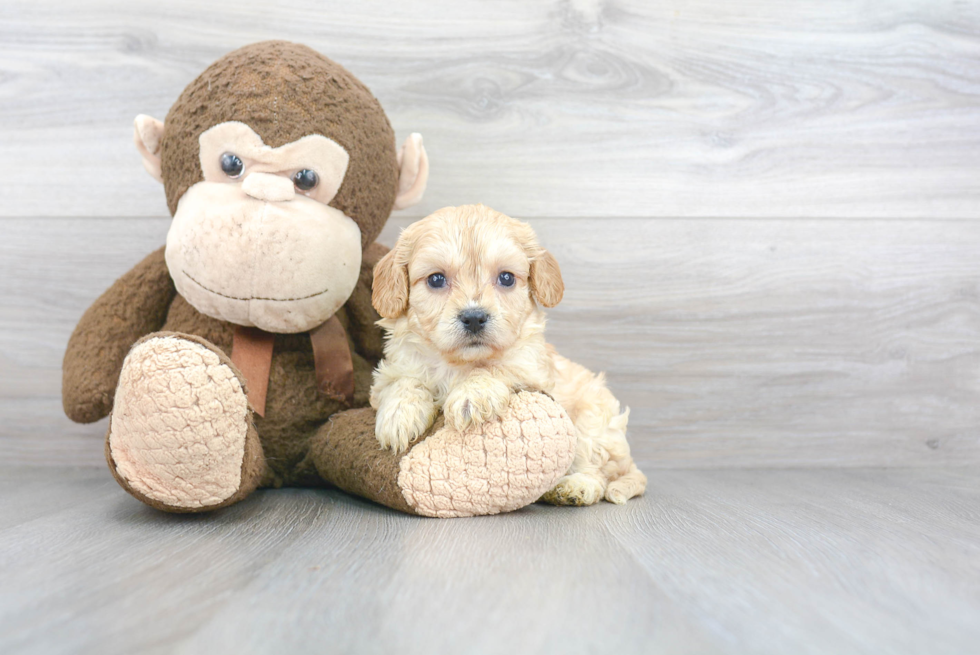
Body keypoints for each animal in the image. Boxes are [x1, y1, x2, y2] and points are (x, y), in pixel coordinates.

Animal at [368, 205, 644, 508]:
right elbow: (403, 381)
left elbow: (497, 367)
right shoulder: (392, 369)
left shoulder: (531, 367)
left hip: (592, 422)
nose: (474, 318)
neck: (458, 363)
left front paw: (472, 394)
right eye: (436, 279)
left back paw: (576, 487)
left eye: (507, 278)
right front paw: (398, 417)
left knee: (596, 469)